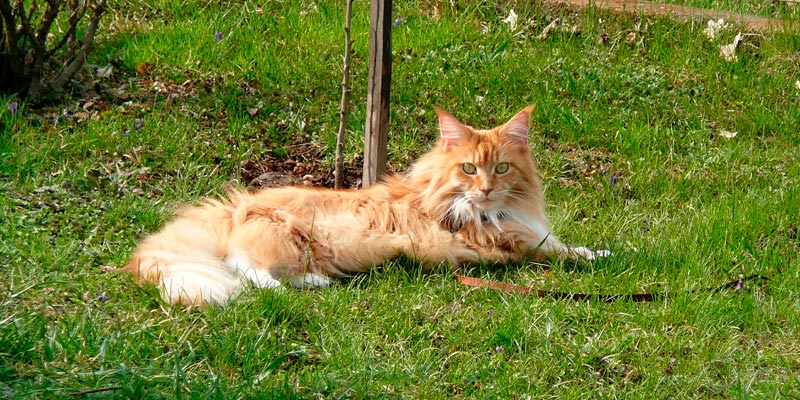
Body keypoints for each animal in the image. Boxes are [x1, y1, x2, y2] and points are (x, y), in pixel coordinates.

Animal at [122, 106, 608, 306]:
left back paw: (316, 282)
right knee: (248, 271)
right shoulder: (517, 246)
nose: (487, 189)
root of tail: (234, 208)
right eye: (469, 169)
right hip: (286, 239)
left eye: (502, 168)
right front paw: (600, 253)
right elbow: (566, 252)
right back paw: (288, 291)